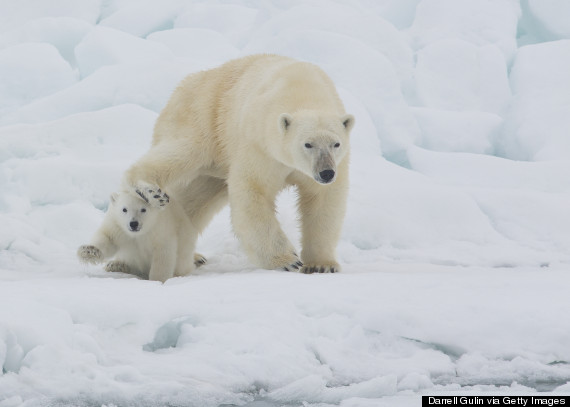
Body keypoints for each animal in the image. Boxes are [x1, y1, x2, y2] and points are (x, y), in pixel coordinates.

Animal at [124, 54, 352, 274]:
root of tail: (182, 87)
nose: (326, 173)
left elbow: (323, 201)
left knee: (194, 200)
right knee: (180, 153)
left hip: (214, 167)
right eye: (307, 144)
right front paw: (287, 261)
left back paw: (190, 255)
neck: (302, 90)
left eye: (336, 143)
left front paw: (321, 264)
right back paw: (149, 191)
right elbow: (253, 190)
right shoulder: (259, 144)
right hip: (203, 122)